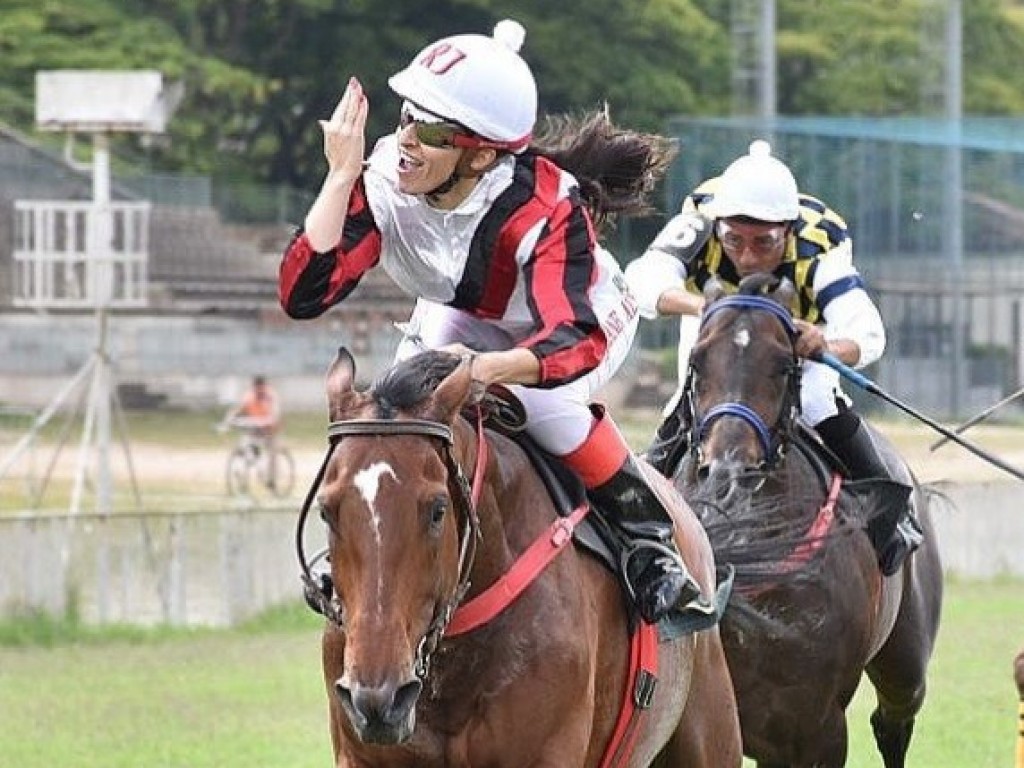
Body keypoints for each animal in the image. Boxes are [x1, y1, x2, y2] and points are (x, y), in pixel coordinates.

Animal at [671, 276, 942, 768]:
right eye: (697, 363)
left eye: (783, 365)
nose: (728, 472)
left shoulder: (817, 727)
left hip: (907, 662)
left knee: (894, 719)